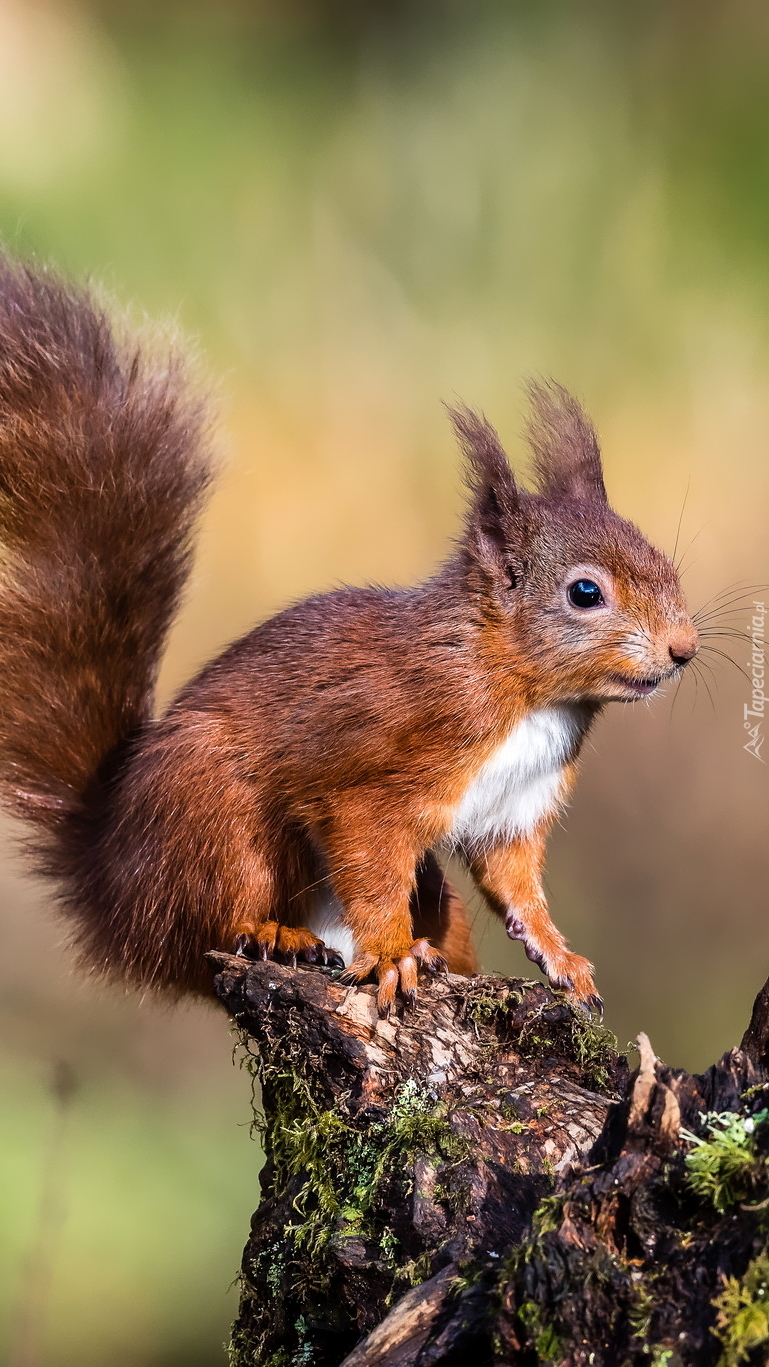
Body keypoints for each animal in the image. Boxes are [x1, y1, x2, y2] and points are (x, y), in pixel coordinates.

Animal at [0, 261, 699, 1022]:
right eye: (584, 593)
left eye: (663, 561)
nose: (683, 648)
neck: (526, 692)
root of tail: (111, 893)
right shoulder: (374, 771)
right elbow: (369, 860)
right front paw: (392, 955)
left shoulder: (515, 807)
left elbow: (515, 884)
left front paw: (560, 957)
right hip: (212, 812)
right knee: (208, 922)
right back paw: (273, 932)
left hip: (432, 899)